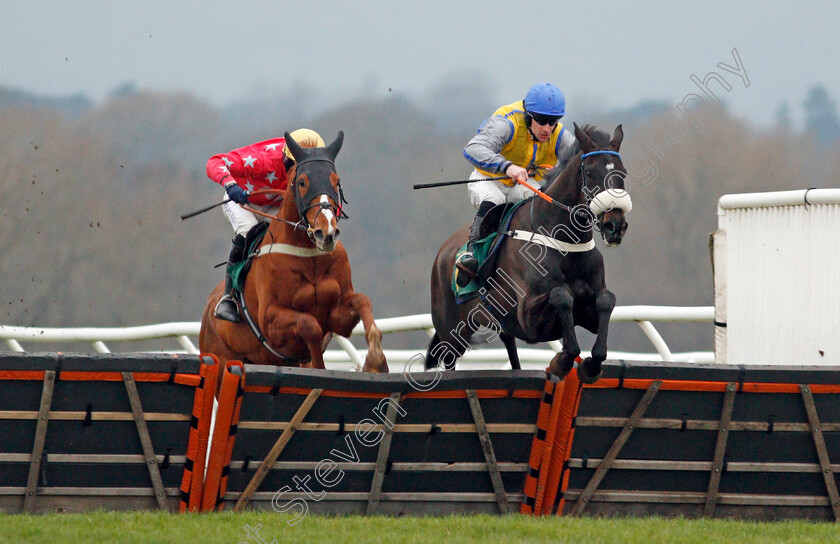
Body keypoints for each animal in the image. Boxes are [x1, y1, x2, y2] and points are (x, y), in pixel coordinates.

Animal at [202, 133, 388, 374]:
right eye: (302, 182)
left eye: (336, 181)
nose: (326, 232)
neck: (308, 255)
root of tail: (207, 310)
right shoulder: (271, 321)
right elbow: (309, 325)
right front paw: (318, 365)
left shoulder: (338, 315)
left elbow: (362, 301)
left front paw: (376, 360)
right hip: (221, 358)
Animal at [426, 125, 632, 384]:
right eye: (590, 173)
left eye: (623, 173)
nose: (614, 226)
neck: (564, 244)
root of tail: (443, 252)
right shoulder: (528, 318)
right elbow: (561, 295)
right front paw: (561, 362)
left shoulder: (589, 310)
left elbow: (606, 300)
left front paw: (591, 365)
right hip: (451, 331)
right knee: (449, 360)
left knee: (510, 348)